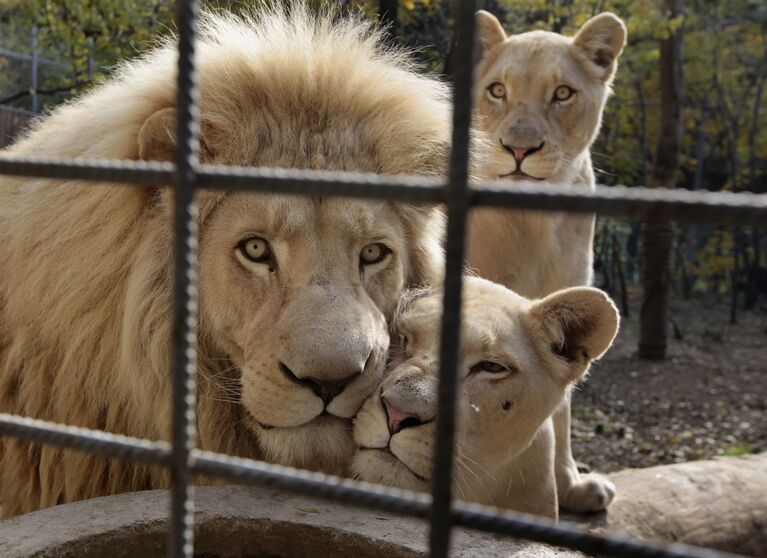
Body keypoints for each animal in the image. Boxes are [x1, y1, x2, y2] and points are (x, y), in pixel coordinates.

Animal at [464, 10, 628, 516]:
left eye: (563, 94)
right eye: (498, 90)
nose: (519, 149)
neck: (534, 221)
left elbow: (560, 409)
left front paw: (570, 486)